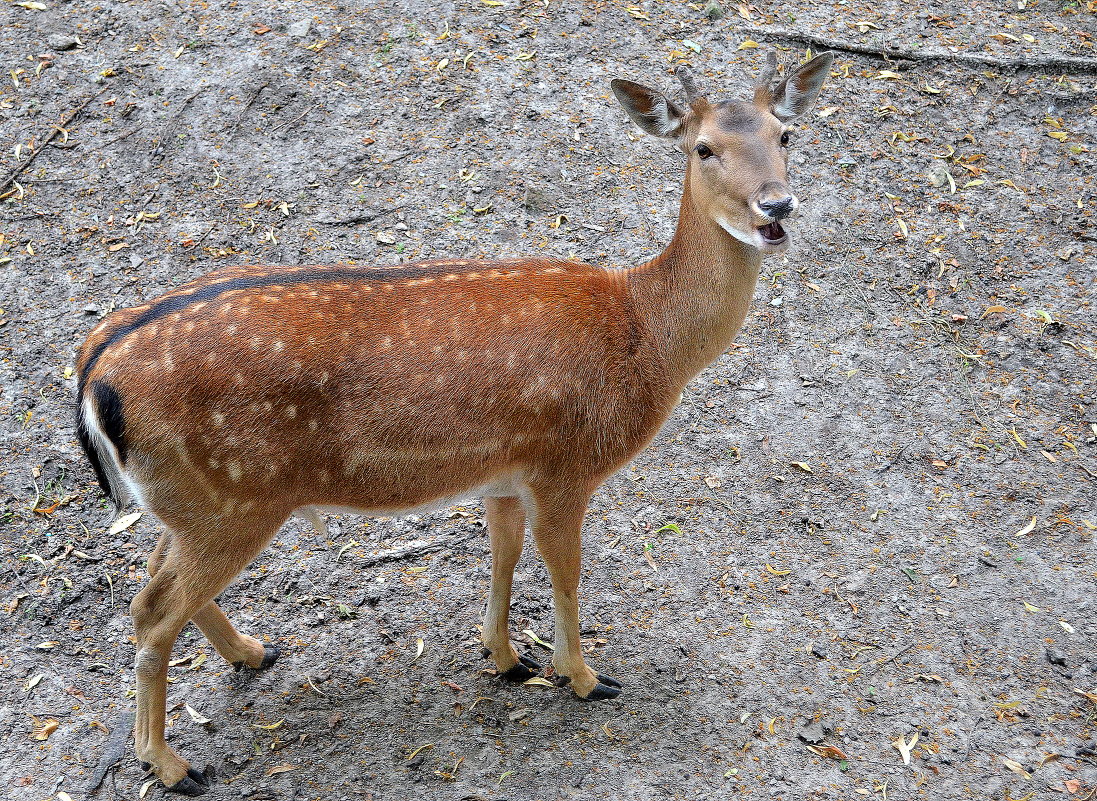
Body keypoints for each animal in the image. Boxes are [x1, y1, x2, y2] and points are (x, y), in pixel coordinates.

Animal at [75, 51, 829, 794]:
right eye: (704, 148)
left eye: (785, 135)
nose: (776, 203)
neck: (643, 332)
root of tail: (94, 374)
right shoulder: (566, 463)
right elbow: (564, 568)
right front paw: (584, 677)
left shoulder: (506, 471)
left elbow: (504, 552)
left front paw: (506, 657)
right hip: (233, 499)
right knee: (150, 609)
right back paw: (171, 764)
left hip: (191, 503)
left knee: (154, 576)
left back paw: (253, 652)